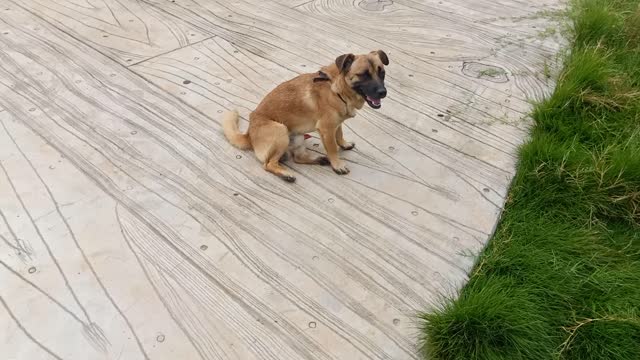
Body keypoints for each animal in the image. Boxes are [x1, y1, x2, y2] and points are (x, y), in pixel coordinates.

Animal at [222, 50, 388, 183]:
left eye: (382, 73)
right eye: (363, 75)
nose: (383, 92)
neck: (336, 87)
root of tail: (249, 135)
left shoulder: (337, 124)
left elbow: (339, 134)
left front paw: (344, 144)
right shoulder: (327, 129)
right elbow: (333, 149)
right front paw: (337, 164)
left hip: (298, 137)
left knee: (298, 158)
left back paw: (319, 159)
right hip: (281, 131)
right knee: (269, 164)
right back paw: (286, 174)